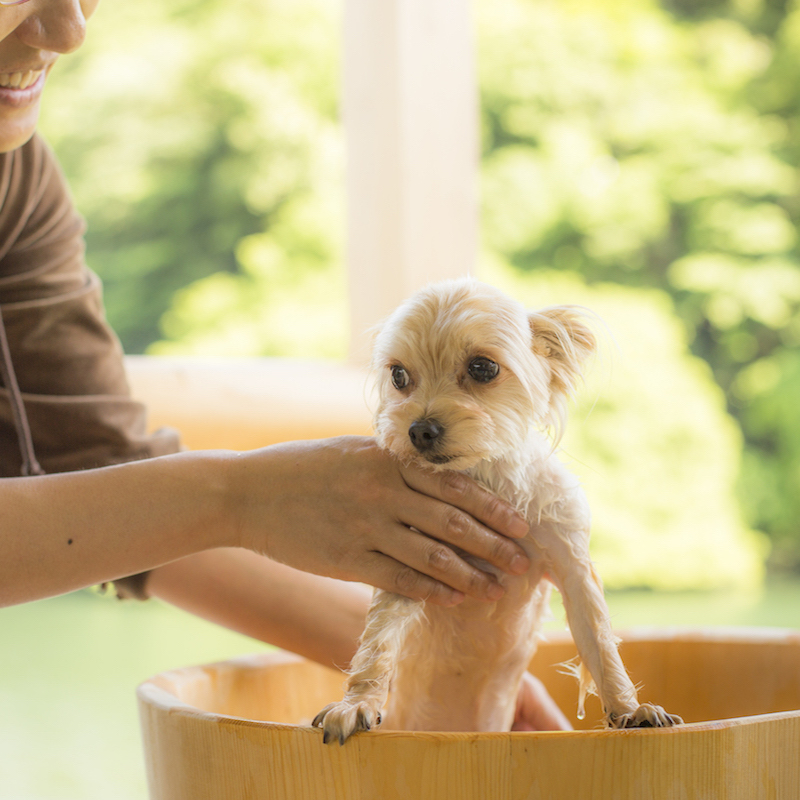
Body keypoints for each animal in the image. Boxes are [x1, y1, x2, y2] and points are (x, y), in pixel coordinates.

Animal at [312, 280, 680, 744]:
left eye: (483, 368)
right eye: (398, 375)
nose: (419, 430)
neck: (489, 481)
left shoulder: (572, 567)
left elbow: (600, 645)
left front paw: (630, 711)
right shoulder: (411, 564)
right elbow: (377, 645)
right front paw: (357, 704)